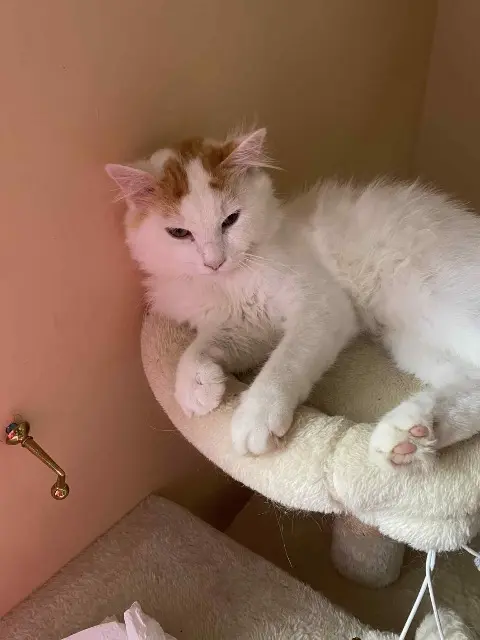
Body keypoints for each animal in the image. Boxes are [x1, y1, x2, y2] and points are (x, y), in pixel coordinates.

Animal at [106, 128, 480, 468]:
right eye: (179, 233)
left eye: (231, 220)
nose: (214, 261)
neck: (229, 283)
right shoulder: (246, 327)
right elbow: (196, 349)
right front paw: (196, 386)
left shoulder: (320, 306)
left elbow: (283, 363)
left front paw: (256, 416)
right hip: (411, 341)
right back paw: (412, 435)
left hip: (437, 306)